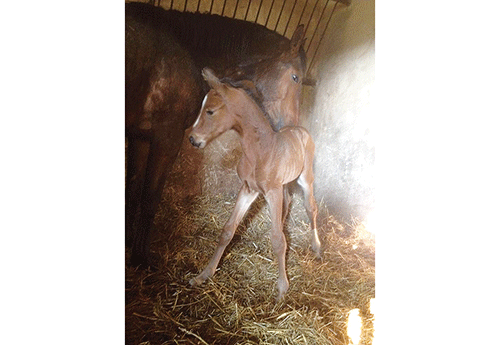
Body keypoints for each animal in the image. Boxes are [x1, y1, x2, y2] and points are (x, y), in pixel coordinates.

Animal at [125, 2, 306, 266]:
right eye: (295, 77)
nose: (291, 126)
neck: (187, 53)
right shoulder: (167, 138)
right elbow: (150, 197)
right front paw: (141, 258)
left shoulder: (140, 136)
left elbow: (133, 189)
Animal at [188, 68, 320, 300]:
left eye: (210, 111)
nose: (193, 139)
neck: (261, 151)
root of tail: (301, 130)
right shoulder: (248, 189)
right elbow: (228, 230)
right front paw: (204, 274)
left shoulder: (272, 191)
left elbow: (277, 239)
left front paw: (282, 288)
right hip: (285, 183)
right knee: (287, 203)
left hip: (305, 178)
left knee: (310, 207)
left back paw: (317, 247)